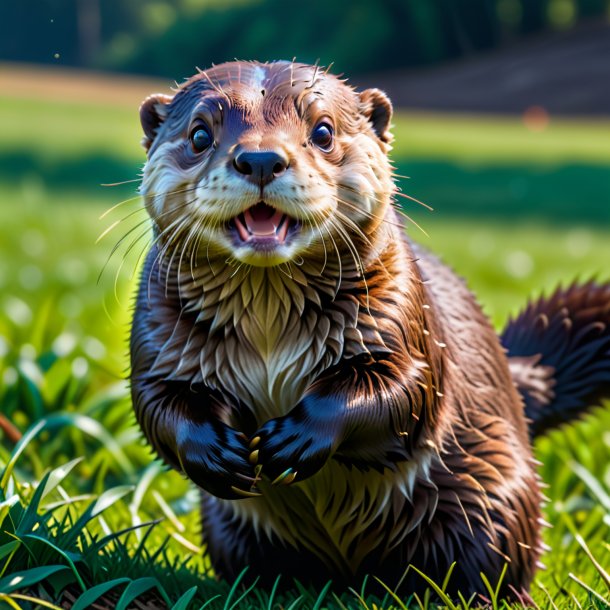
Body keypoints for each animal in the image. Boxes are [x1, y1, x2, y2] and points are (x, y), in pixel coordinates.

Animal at [128, 61, 608, 600]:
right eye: (199, 134)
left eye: (322, 131)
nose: (260, 158)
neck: (269, 340)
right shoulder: (159, 342)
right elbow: (157, 406)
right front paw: (216, 453)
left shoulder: (403, 325)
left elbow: (401, 393)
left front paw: (294, 440)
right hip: (225, 527)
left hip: (496, 503)